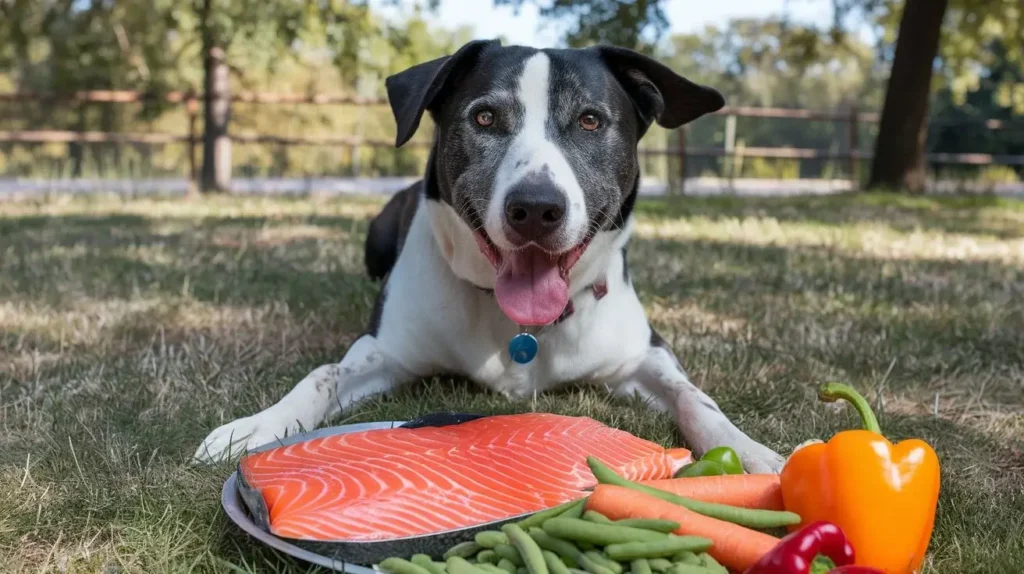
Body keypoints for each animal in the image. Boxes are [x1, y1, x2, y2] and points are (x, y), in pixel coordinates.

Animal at [192, 39, 782, 470]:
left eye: (590, 120)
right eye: (484, 118)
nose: (536, 208)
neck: (519, 326)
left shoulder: (643, 356)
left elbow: (695, 397)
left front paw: (753, 453)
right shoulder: (384, 351)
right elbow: (322, 375)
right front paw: (255, 426)